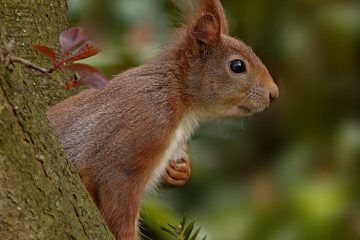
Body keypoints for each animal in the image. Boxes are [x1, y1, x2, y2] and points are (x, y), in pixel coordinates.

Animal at [47, 0, 278, 240]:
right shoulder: (141, 130)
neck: (176, 95)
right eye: (237, 66)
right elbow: (119, 198)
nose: (274, 93)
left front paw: (180, 170)